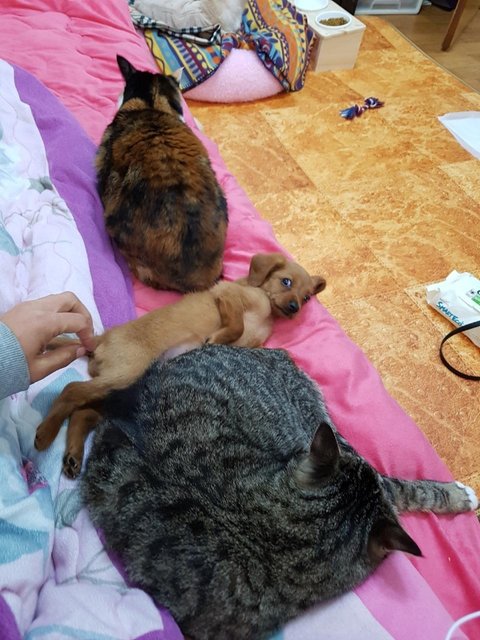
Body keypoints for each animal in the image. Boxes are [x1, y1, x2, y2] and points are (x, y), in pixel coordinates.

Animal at [34, 252, 326, 478]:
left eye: (306, 298)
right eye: (286, 281)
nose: (295, 308)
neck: (265, 310)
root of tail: (102, 337)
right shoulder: (228, 297)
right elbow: (236, 325)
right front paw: (217, 338)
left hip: (119, 392)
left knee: (82, 412)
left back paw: (73, 454)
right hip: (125, 374)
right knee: (72, 389)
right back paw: (46, 433)